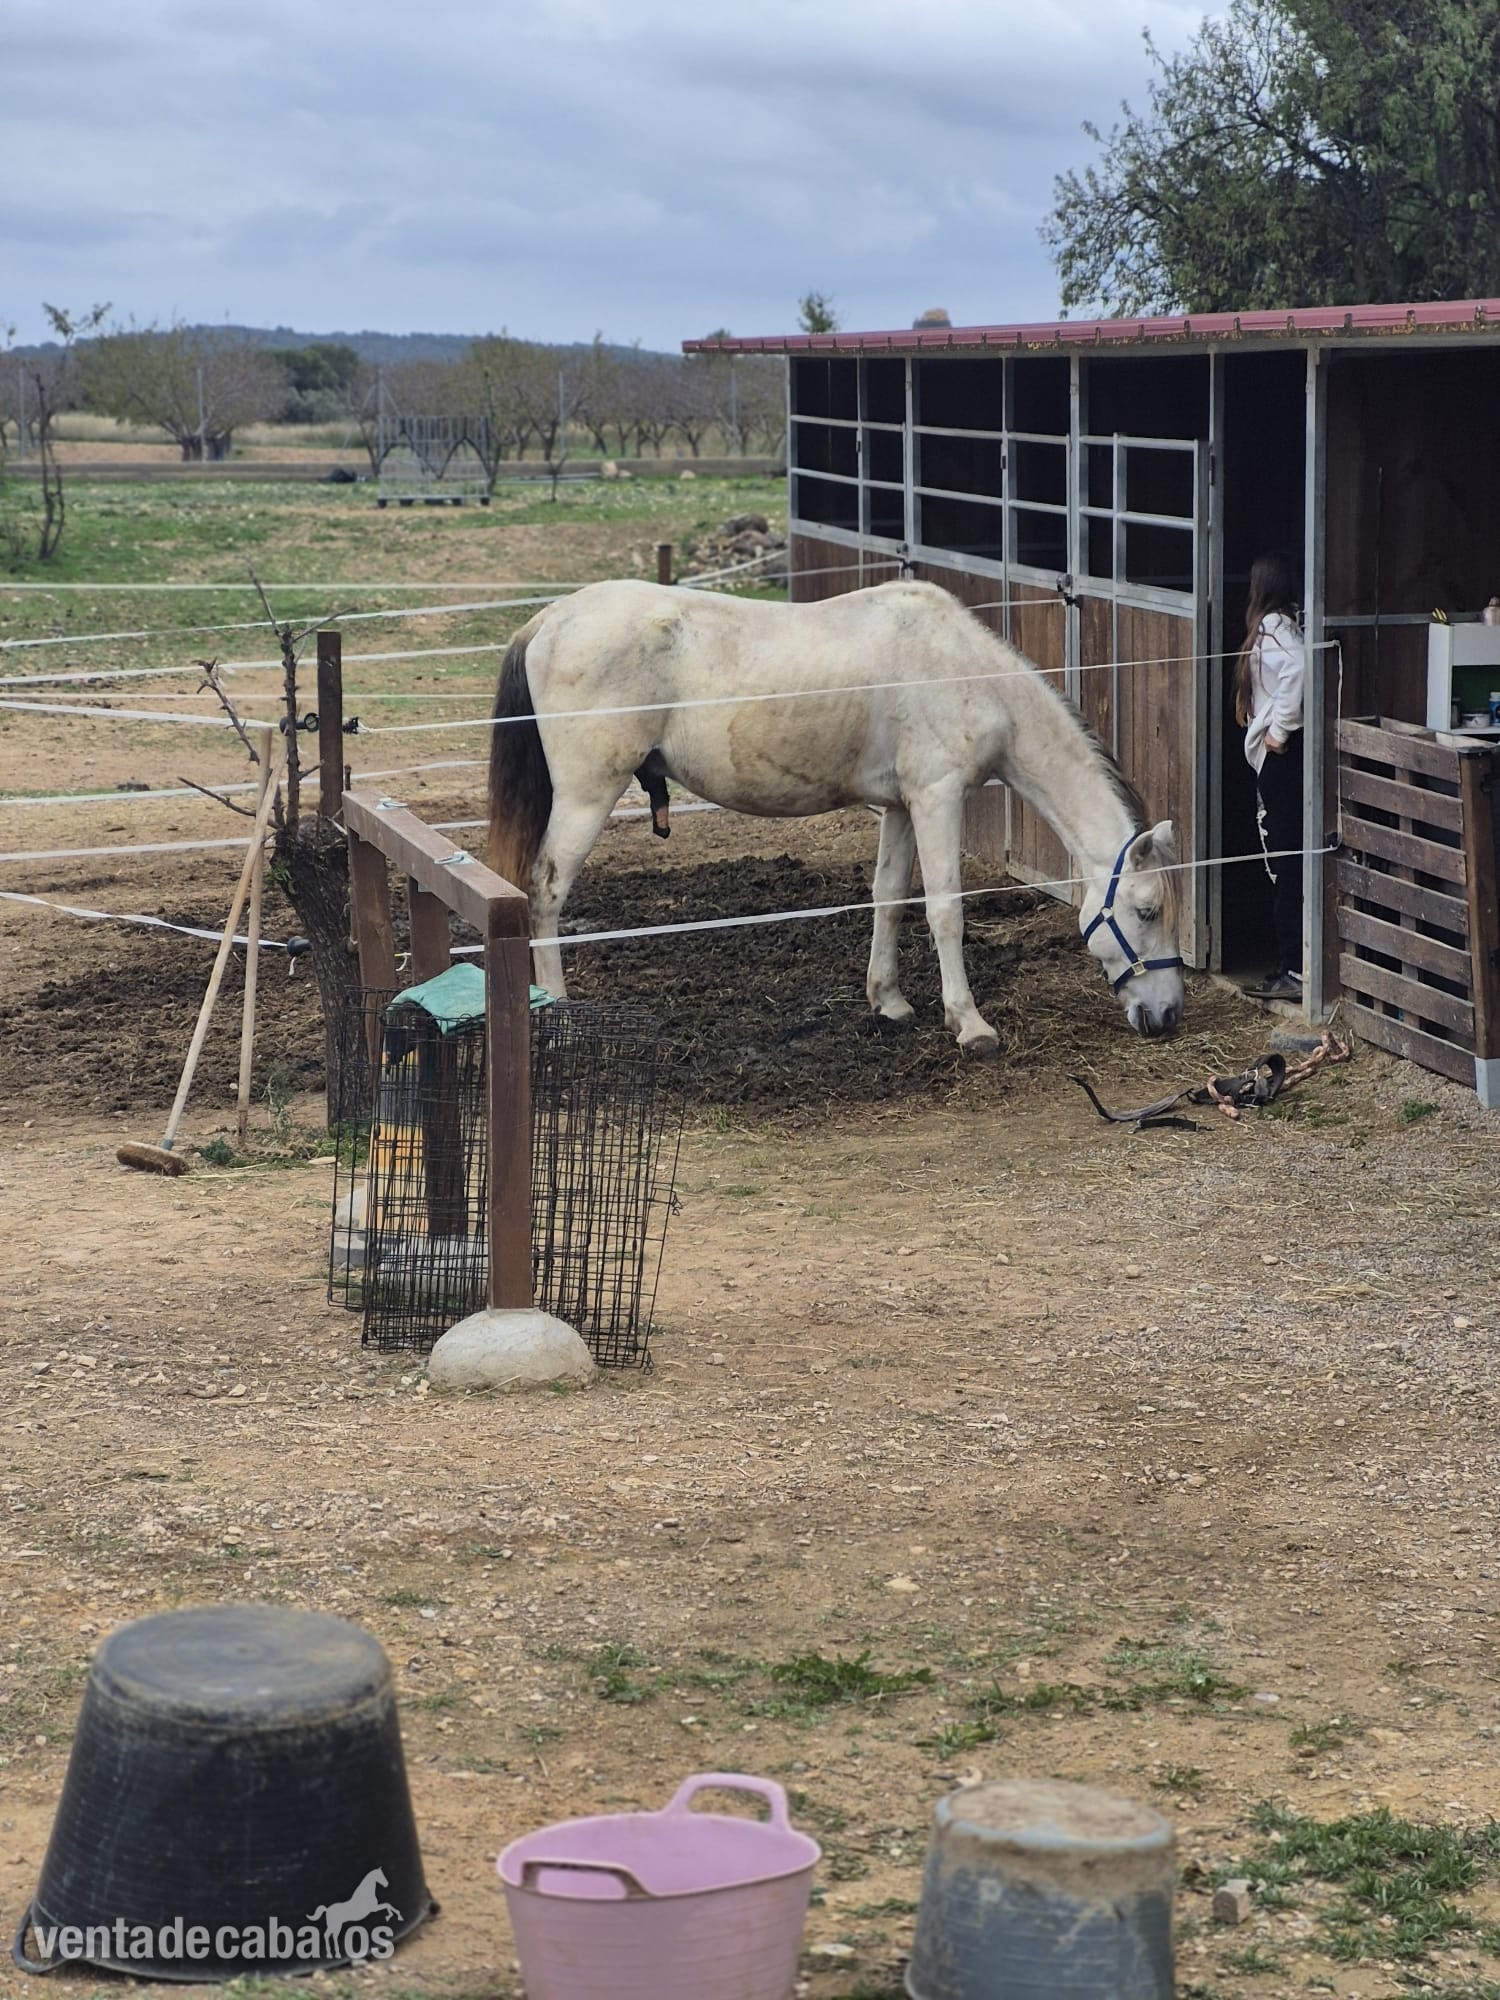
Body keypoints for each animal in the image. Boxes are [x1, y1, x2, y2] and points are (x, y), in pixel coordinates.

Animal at [487, 579, 1185, 1049]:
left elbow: (890, 897)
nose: (1170, 1014)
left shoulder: (902, 806)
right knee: (546, 891)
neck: (968, 675)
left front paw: (889, 1002)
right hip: (586, 797)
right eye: (1147, 911)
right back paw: (557, 1010)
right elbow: (945, 910)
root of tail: (549, 620)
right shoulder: (938, 798)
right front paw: (970, 1024)